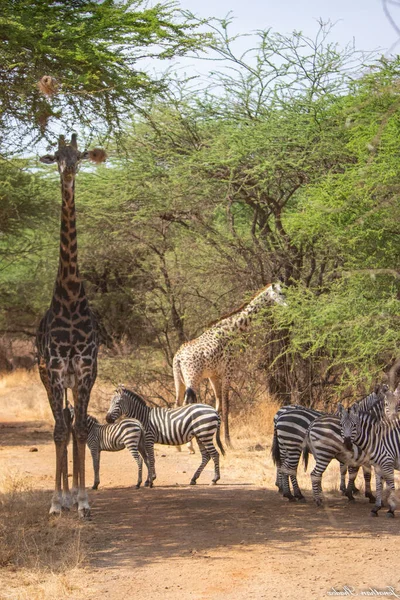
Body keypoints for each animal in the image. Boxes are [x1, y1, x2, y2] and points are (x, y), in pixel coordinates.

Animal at [173, 282, 286, 446]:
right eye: (281, 293)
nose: (288, 304)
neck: (232, 329)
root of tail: (178, 357)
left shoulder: (213, 375)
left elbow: (218, 404)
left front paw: (218, 440)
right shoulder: (228, 370)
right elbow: (226, 405)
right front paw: (227, 441)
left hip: (178, 379)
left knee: (177, 403)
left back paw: (179, 446)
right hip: (192, 378)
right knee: (187, 404)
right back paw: (189, 446)